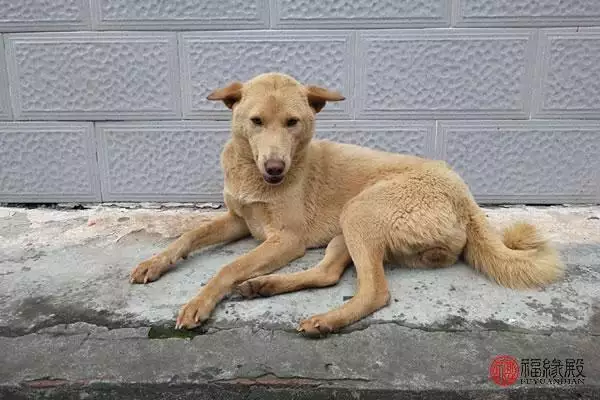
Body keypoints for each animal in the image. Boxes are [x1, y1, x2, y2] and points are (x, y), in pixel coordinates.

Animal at [129, 72, 564, 338]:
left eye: (293, 122)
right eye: (255, 121)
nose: (275, 168)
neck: (252, 171)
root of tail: (464, 194)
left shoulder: (286, 239)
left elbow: (227, 267)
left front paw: (199, 302)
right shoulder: (240, 219)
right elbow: (187, 236)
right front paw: (154, 262)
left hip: (360, 212)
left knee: (375, 292)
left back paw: (324, 320)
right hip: (346, 229)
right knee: (328, 274)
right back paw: (264, 286)